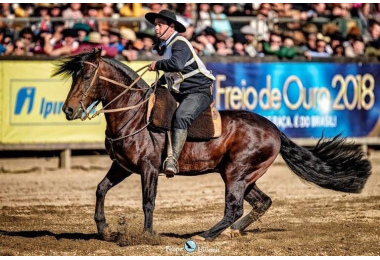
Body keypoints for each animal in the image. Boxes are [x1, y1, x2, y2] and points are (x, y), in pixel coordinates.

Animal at [52, 49, 372, 242]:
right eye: (74, 75)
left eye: (86, 75)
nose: (68, 110)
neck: (135, 113)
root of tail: (275, 130)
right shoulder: (122, 166)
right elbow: (101, 189)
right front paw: (104, 228)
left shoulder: (148, 168)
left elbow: (148, 202)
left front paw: (147, 235)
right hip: (242, 176)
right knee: (260, 203)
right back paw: (231, 232)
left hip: (236, 174)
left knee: (234, 208)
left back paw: (206, 235)